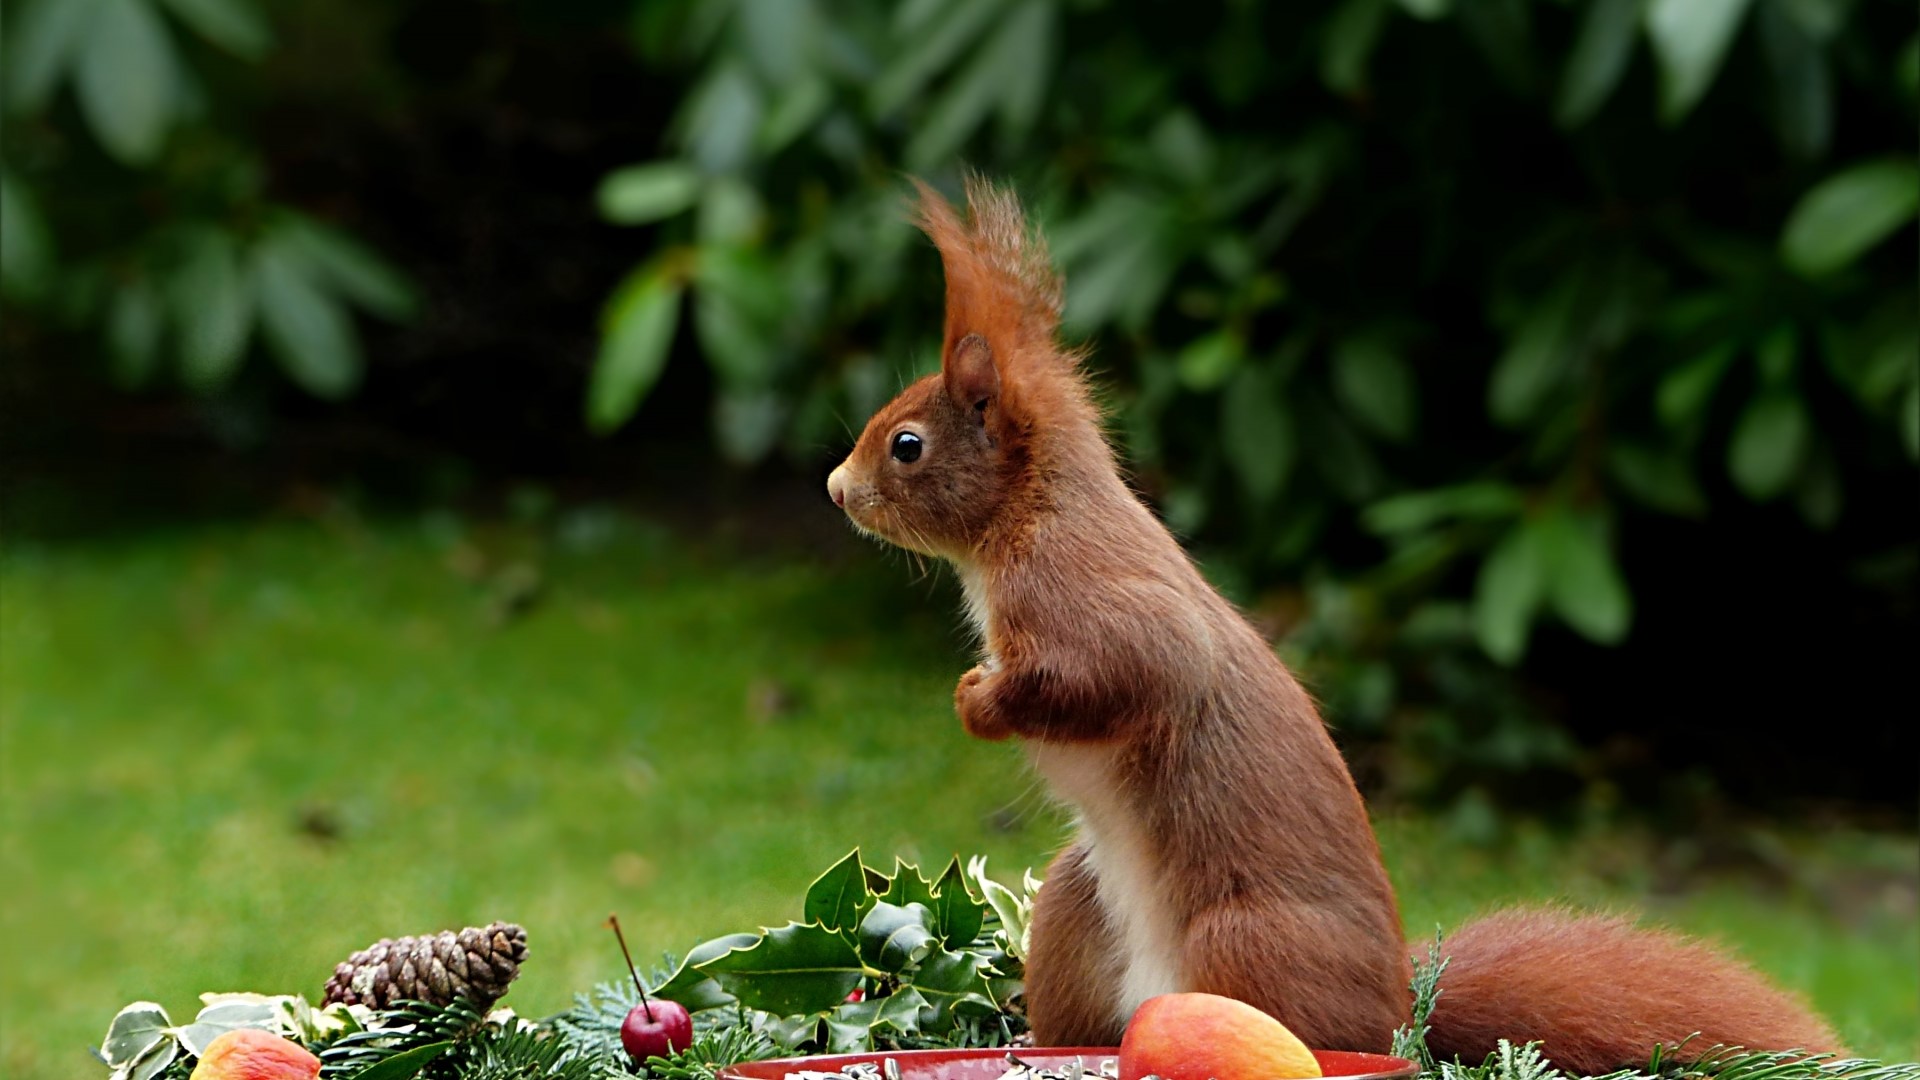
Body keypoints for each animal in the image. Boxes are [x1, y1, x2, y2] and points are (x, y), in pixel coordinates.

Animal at [824, 177, 1843, 1074]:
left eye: (906, 446)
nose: (835, 490)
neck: (1022, 518)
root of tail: (1399, 1017)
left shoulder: (1086, 592)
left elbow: (1126, 671)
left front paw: (978, 699)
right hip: (1079, 909)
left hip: (1243, 942)